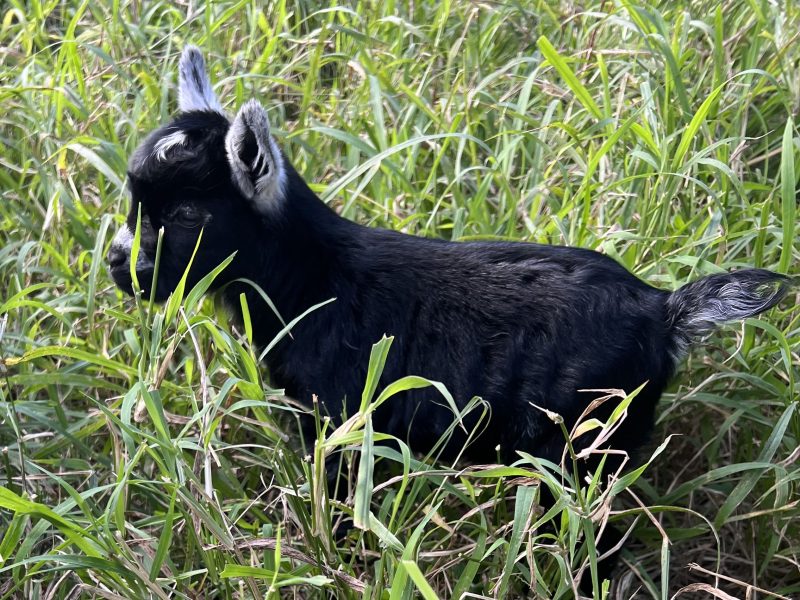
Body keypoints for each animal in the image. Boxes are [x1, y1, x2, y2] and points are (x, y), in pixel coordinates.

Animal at [108, 47, 791, 474]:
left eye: (187, 216)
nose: (119, 266)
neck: (313, 279)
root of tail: (661, 309)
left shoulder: (340, 426)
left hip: (588, 441)